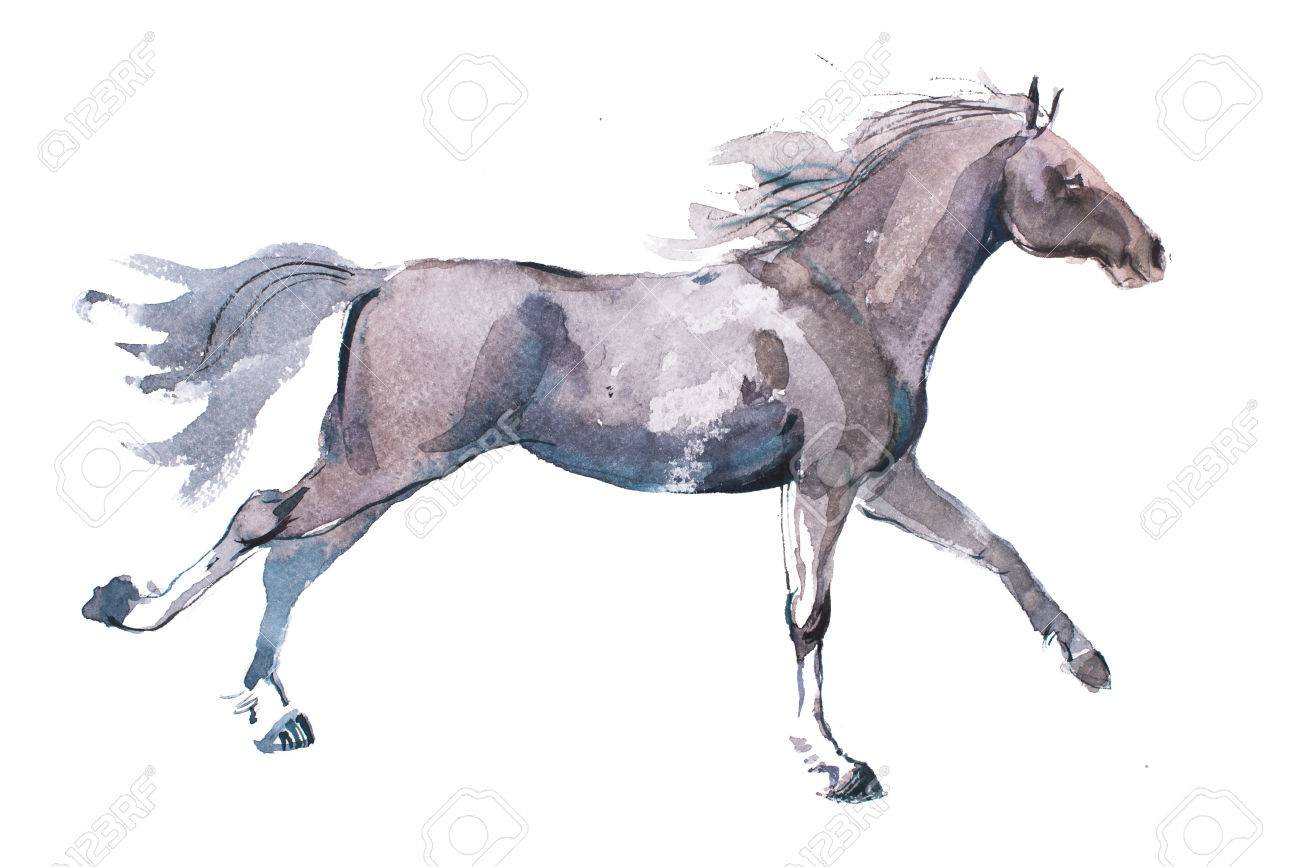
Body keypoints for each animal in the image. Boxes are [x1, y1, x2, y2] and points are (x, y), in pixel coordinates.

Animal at [80, 79, 1165, 801]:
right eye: (1068, 176)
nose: (1154, 253)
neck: (848, 301)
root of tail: (379, 277)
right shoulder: (825, 482)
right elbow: (810, 616)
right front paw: (836, 763)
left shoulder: (878, 479)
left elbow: (995, 547)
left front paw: (1088, 662)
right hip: (381, 463)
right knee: (261, 521)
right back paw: (140, 620)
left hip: (384, 472)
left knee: (290, 558)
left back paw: (277, 712)